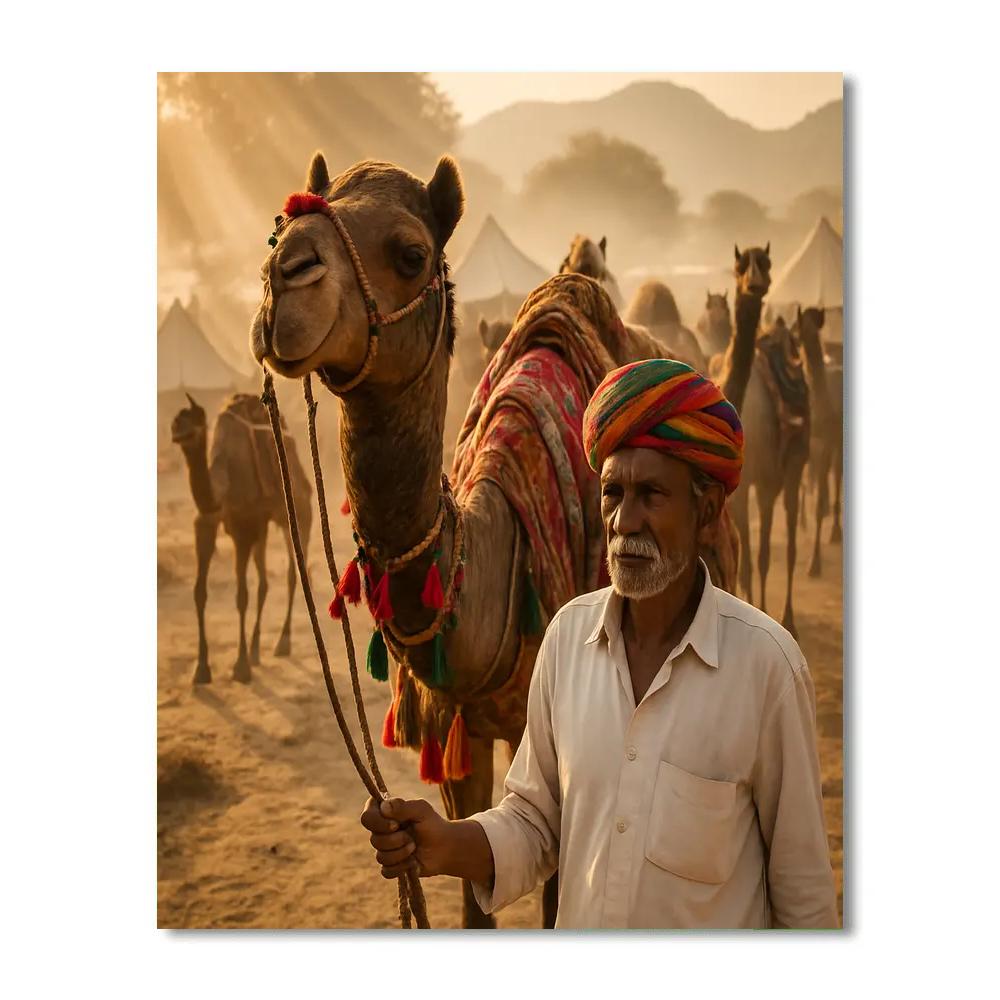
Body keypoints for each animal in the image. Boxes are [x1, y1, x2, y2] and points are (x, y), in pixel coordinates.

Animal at [170, 393, 313, 684]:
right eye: (177, 419)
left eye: (195, 419)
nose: (175, 430)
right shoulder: (207, 524)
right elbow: (199, 592)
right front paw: (201, 669)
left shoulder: (243, 531)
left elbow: (241, 595)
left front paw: (241, 666)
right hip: (263, 527)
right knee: (265, 582)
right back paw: (258, 650)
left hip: (298, 514)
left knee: (293, 575)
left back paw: (282, 642)